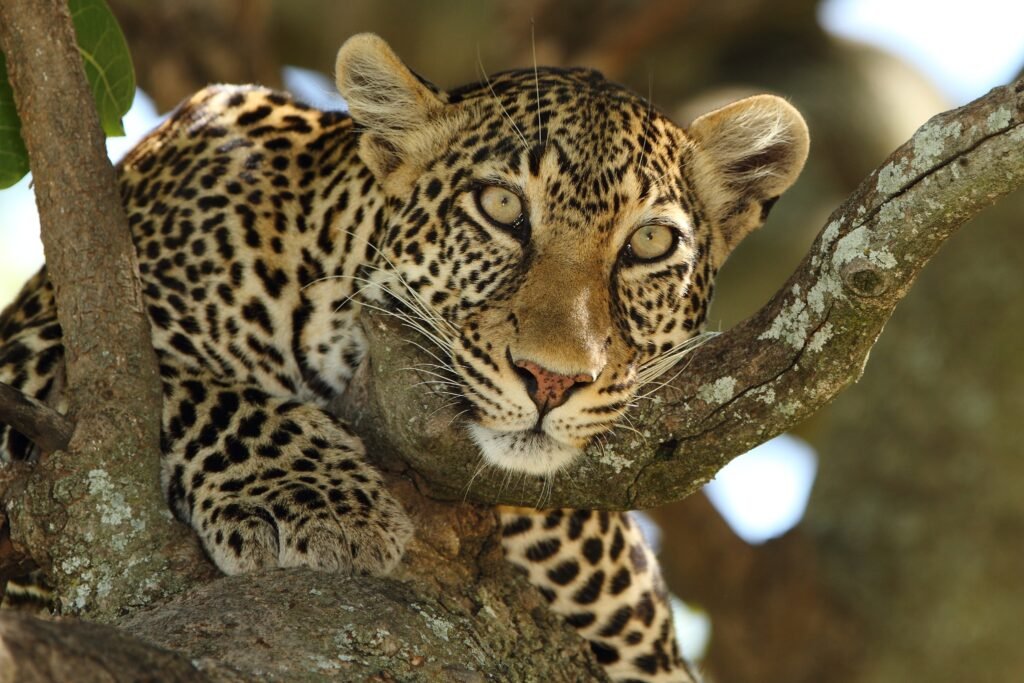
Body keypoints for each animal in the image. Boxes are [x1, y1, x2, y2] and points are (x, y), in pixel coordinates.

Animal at [0, 34, 808, 682]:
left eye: (649, 243)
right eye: (501, 208)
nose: (552, 379)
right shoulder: (34, 344)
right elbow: (185, 382)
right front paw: (311, 499)